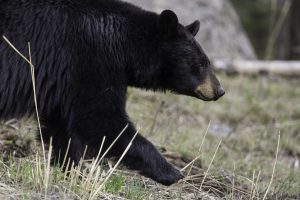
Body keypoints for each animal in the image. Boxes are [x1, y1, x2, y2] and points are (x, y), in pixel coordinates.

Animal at [0, 0, 225, 185]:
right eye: (201, 63)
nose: (220, 90)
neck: (124, 43)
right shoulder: (90, 59)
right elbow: (102, 120)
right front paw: (171, 172)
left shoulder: (65, 81)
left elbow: (62, 126)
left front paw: (72, 170)